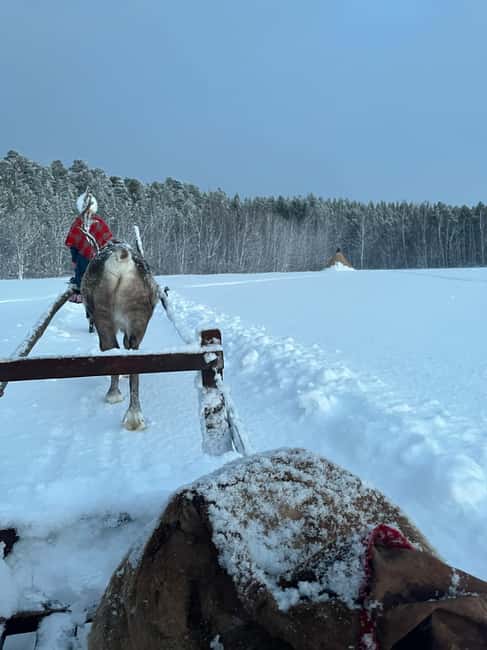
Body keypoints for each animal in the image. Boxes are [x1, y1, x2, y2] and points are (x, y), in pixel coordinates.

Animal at [81, 242, 159, 431]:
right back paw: (135, 415)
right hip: (138, 318)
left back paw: (113, 394)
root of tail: (121, 258)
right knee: (133, 358)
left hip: (103, 319)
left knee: (112, 350)